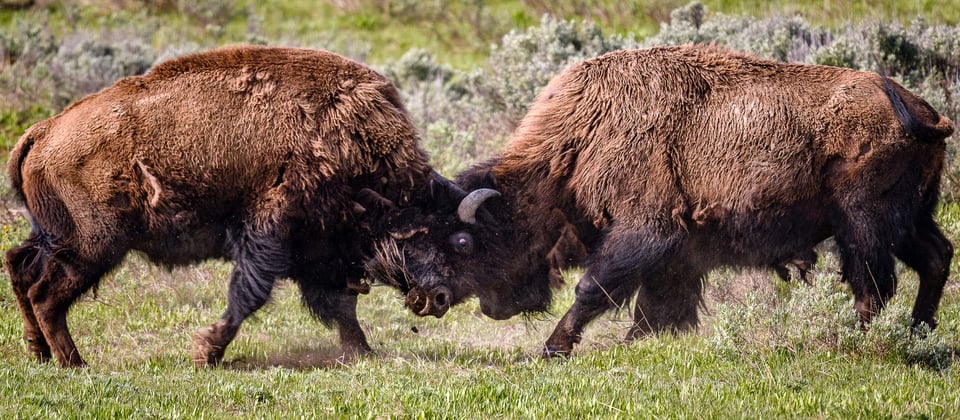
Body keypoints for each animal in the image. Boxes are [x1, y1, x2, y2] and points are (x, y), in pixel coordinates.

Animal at [4, 46, 436, 366]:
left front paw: (363, 351)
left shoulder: (319, 255)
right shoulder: (269, 237)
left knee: (20, 267)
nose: (438, 299)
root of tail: (41, 132)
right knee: (45, 294)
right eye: (432, 229)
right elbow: (250, 295)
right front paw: (206, 352)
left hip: (52, 235)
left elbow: (340, 306)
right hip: (92, 246)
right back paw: (75, 363)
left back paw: (40, 353)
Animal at [368, 44, 952, 356]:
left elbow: (595, 289)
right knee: (935, 258)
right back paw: (919, 331)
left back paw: (854, 339)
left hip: (863, 222)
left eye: (464, 240)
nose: (426, 297)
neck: (577, 142)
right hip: (911, 218)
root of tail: (925, 111)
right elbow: (658, 306)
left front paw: (553, 349)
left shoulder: (645, 232)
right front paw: (636, 343)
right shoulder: (676, 255)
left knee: (874, 281)